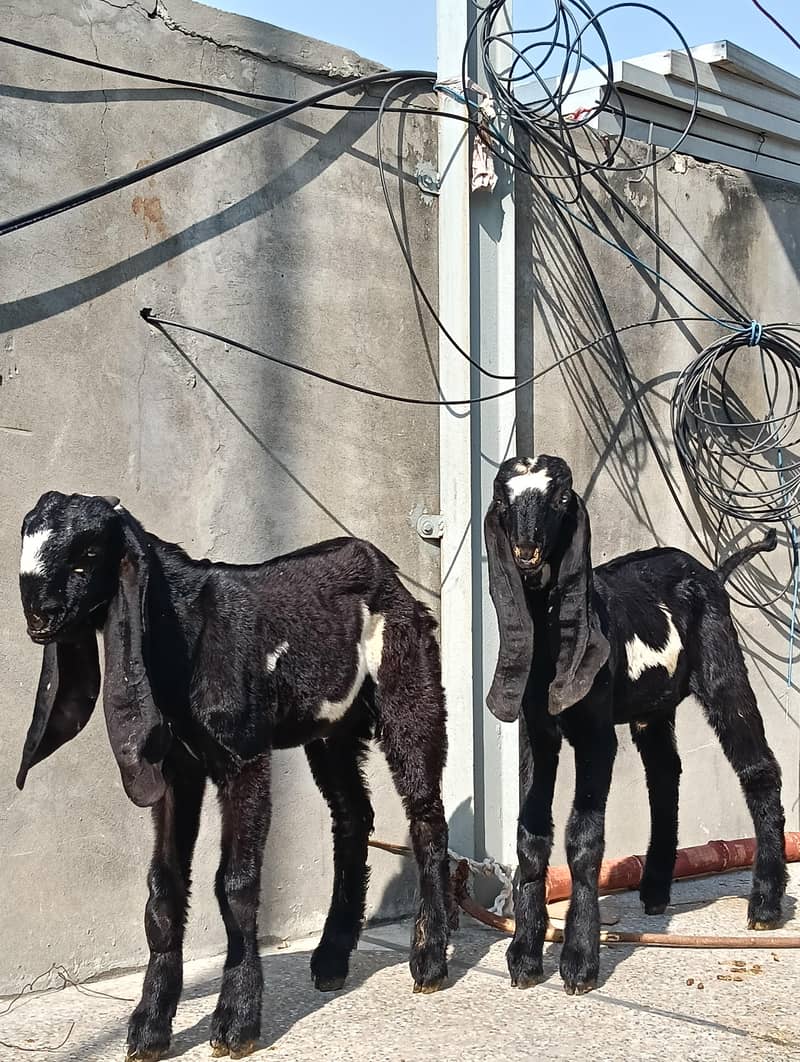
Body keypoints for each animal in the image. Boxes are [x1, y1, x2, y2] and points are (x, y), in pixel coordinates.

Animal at [16, 492, 451, 1060]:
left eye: (88, 553)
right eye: (24, 538)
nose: (36, 614)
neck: (188, 630)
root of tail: (386, 570)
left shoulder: (242, 757)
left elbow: (236, 882)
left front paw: (235, 1022)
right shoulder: (176, 768)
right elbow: (162, 887)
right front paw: (149, 1027)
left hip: (409, 683)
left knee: (426, 813)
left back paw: (430, 961)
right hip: (331, 731)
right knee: (352, 816)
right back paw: (332, 958)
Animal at [485, 454, 786, 995]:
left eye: (563, 498)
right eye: (503, 498)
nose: (526, 550)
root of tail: (711, 572)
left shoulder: (595, 735)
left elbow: (584, 837)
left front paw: (579, 963)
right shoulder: (536, 731)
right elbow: (530, 834)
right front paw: (523, 956)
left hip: (723, 668)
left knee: (758, 768)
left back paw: (766, 906)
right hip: (654, 707)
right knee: (666, 773)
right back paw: (655, 889)